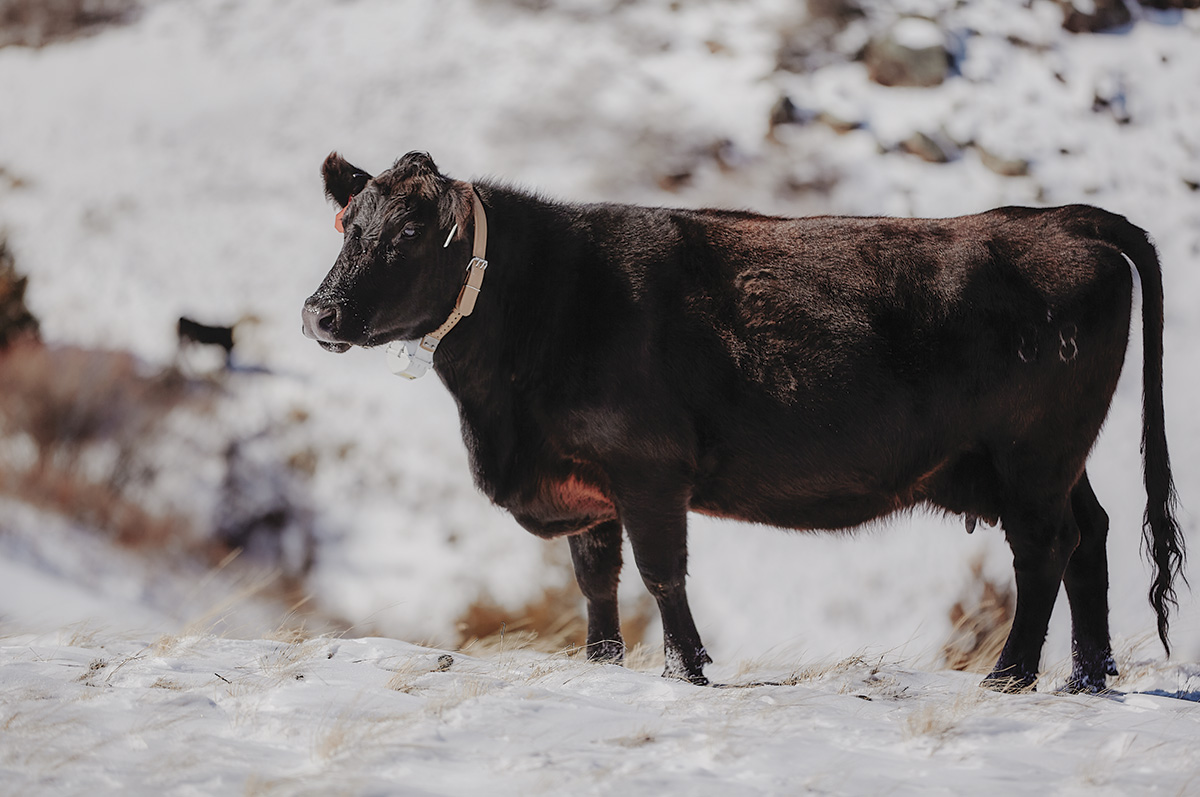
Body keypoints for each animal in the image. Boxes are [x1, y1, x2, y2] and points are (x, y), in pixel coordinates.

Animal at [302, 150, 1184, 693]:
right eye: (349, 225)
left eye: (409, 230)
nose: (320, 311)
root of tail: (1053, 219)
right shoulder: (589, 486)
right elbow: (596, 580)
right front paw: (602, 664)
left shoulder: (649, 469)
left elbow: (662, 572)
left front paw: (686, 669)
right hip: (1046, 461)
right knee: (1092, 533)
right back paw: (1088, 675)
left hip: (1033, 456)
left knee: (1046, 548)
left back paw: (1012, 674)